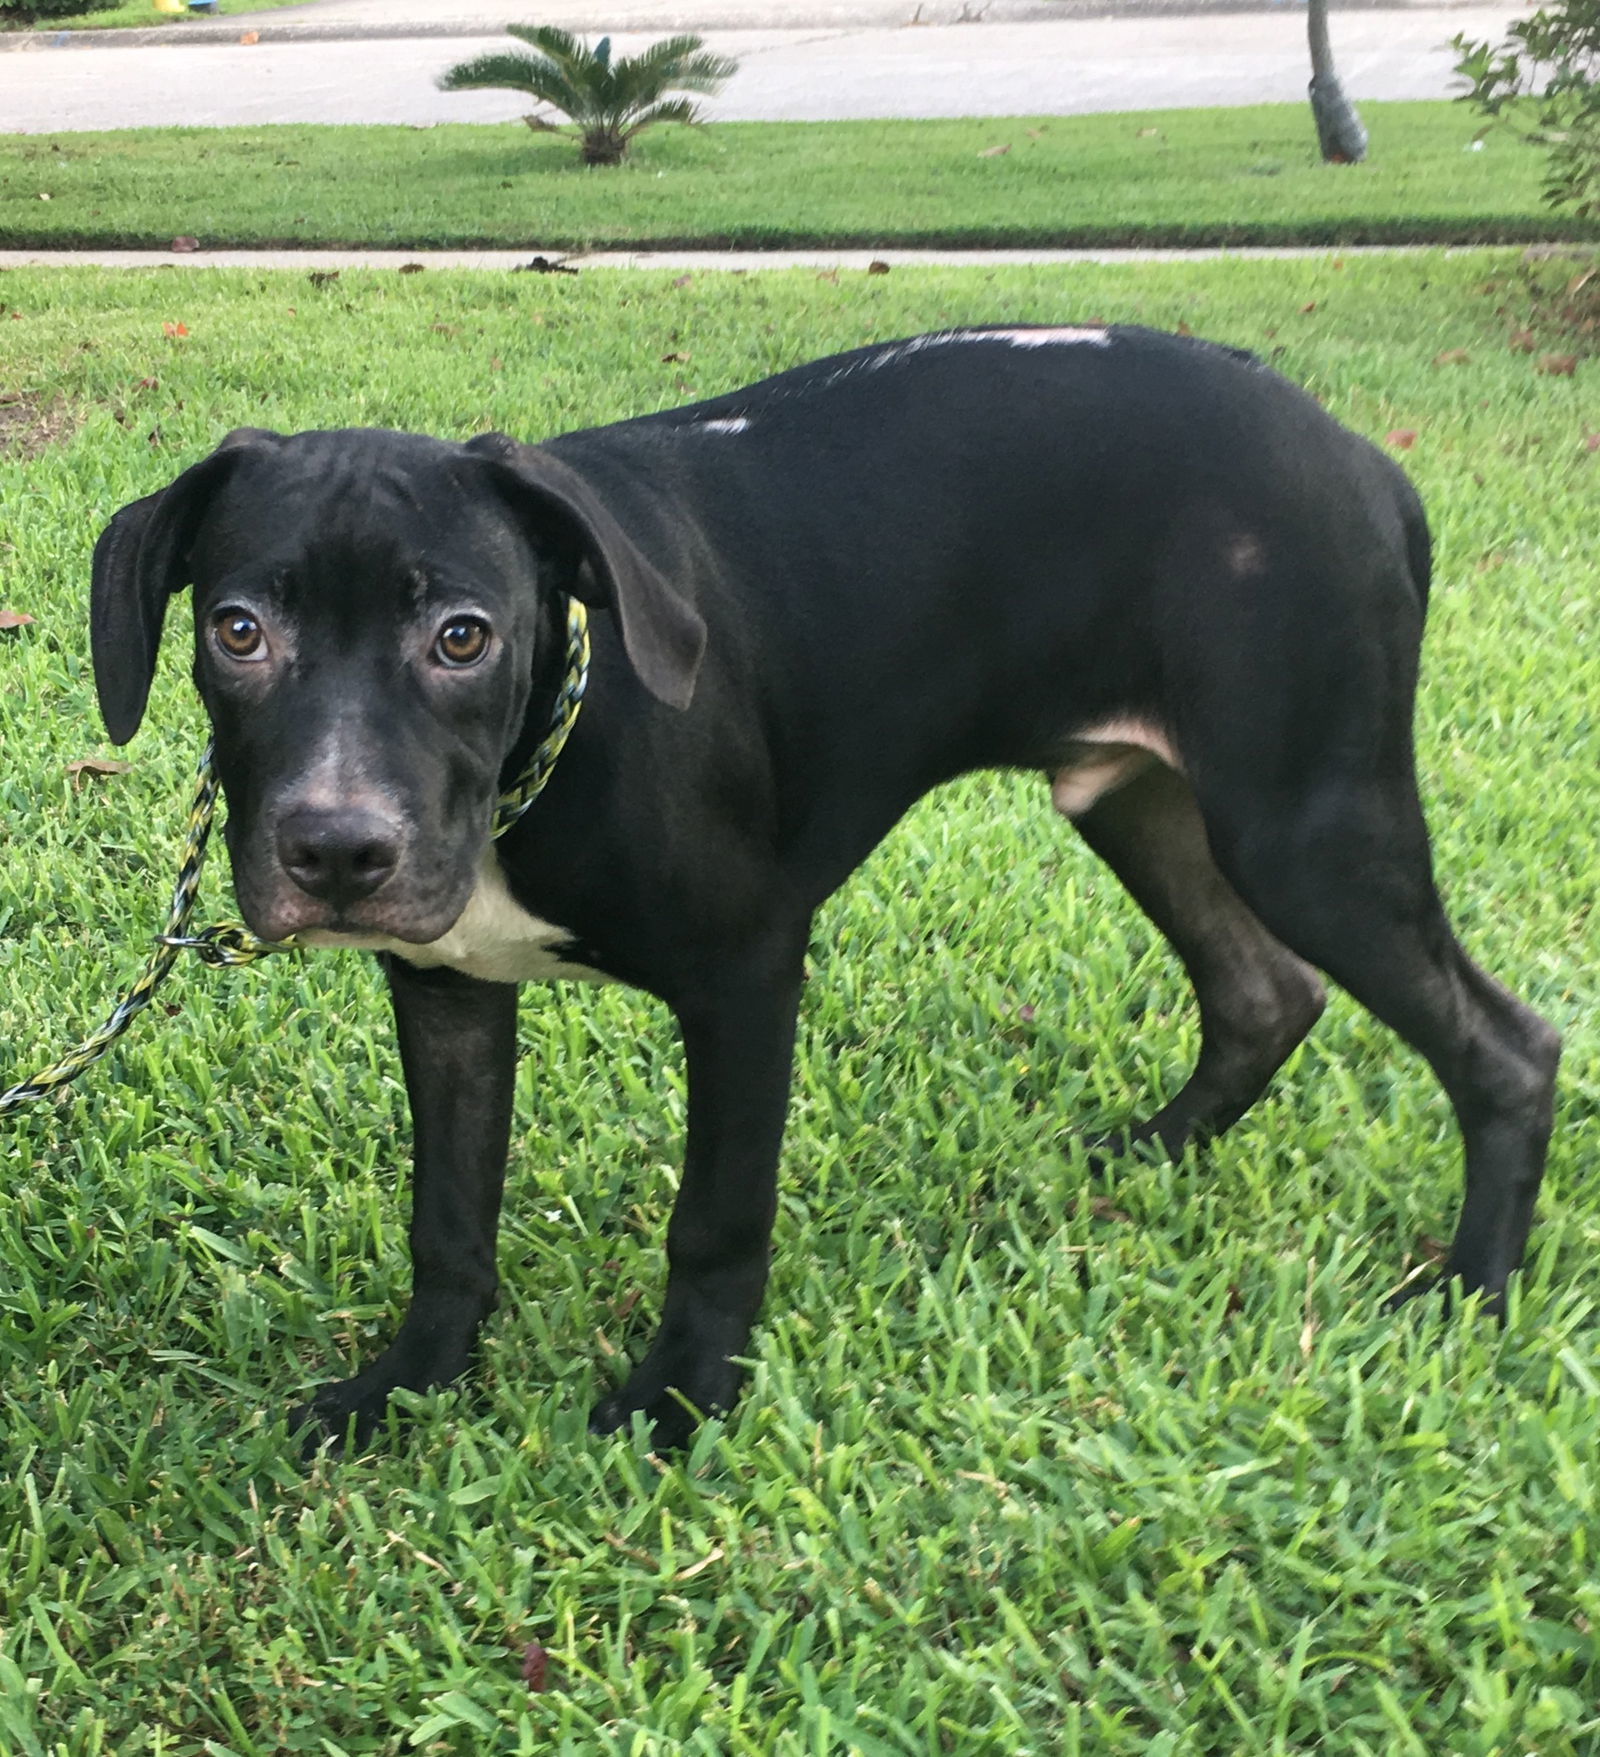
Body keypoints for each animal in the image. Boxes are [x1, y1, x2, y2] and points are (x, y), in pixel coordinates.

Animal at [90, 323, 1566, 1447]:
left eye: (463, 636)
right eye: (237, 631)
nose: (339, 853)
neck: (548, 747)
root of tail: (1365, 461)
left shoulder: (745, 978)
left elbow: (714, 1218)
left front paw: (681, 1399)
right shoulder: (446, 993)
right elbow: (447, 1215)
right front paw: (411, 1385)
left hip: (1305, 823)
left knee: (1507, 1044)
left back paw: (1472, 1289)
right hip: (1139, 796)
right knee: (1265, 990)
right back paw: (1153, 1154)